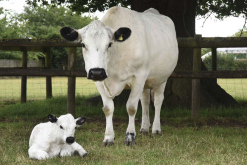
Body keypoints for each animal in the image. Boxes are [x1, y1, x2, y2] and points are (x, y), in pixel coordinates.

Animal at [60, 6, 178, 146]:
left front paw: (130, 136)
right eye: (83, 44)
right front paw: (108, 138)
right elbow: (108, 108)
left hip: (162, 78)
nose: (96, 72)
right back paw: (144, 128)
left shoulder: (139, 76)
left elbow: (131, 107)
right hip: (145, 82)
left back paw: (156, 129)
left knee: (158, 101)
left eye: (110, 44)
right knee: (145, 101)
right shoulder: (99, 81)